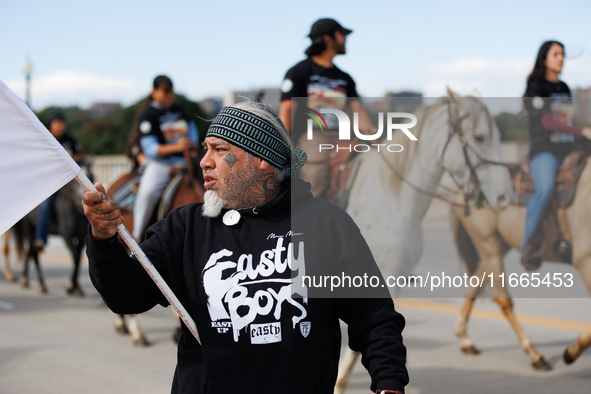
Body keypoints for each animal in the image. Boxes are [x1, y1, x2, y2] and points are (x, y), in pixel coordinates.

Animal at [450, 155, 591, 370]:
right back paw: (534, 354)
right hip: (489, 245)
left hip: (498, 247)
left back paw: (465, 340)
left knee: (475, 284)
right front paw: (571, 353)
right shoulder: (585, 261)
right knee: (503, 299)